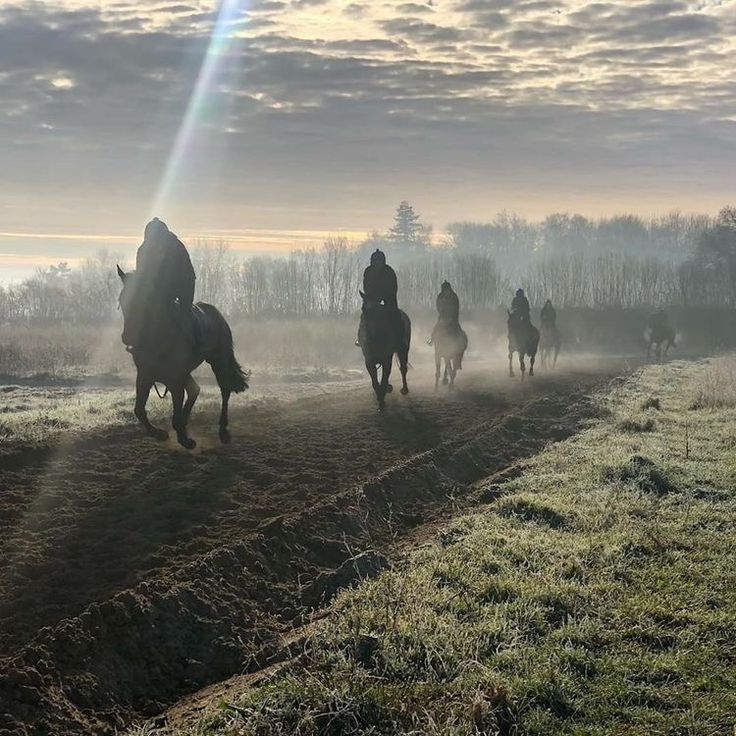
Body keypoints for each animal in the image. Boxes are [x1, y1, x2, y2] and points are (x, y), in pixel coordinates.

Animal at [118, 264, 249, 448]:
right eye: (122, 300)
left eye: (145, 300)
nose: (127, 336)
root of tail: (218, 315)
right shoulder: (145, 375)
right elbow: (139, 410)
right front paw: (160, 434)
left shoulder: (175, 378)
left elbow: (176, 409)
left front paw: (185, 440)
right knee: (195, 390)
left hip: (218, 362)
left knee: (225, 390)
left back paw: (223, 430)